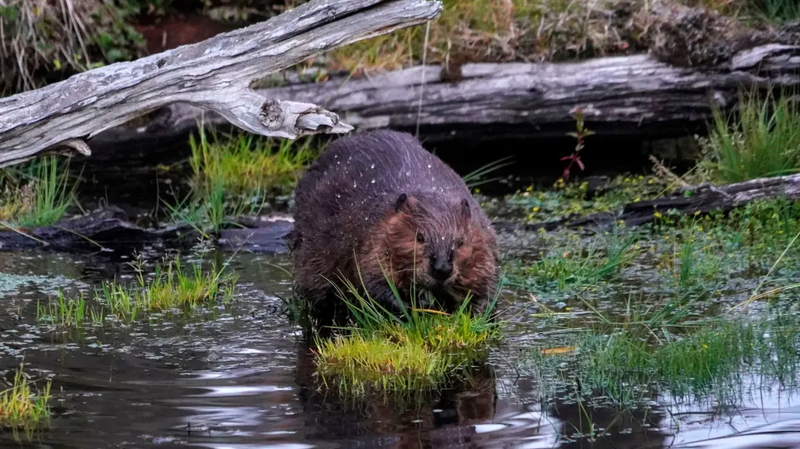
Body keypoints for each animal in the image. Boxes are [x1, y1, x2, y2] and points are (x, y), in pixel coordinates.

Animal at [290, 128, 496, 320]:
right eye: (420, 237)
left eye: (460, 242)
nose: (442, 269)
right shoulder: (372, 237)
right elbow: (372, 282)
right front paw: (415, 307)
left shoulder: (482, 239)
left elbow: (485, 286)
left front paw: (472, 311)